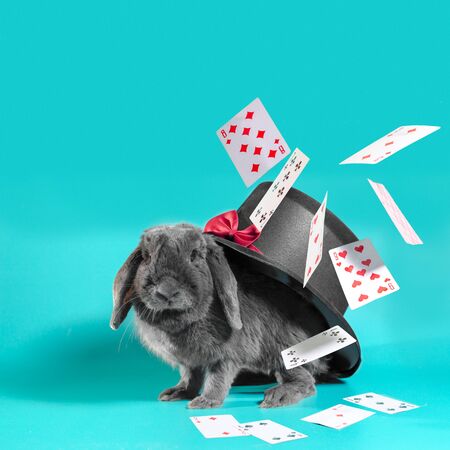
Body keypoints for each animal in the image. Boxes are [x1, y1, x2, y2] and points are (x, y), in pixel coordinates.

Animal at [110, 224, 328, 408]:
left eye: (195, 255)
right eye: (146, 256)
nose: (166, 291)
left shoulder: (226, 356)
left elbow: (218, 378)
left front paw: (205, 402)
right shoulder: (189, 362)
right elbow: (190, 377)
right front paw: (176, 393)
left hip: (284, 352)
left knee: (305, 380)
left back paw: (277, 397)